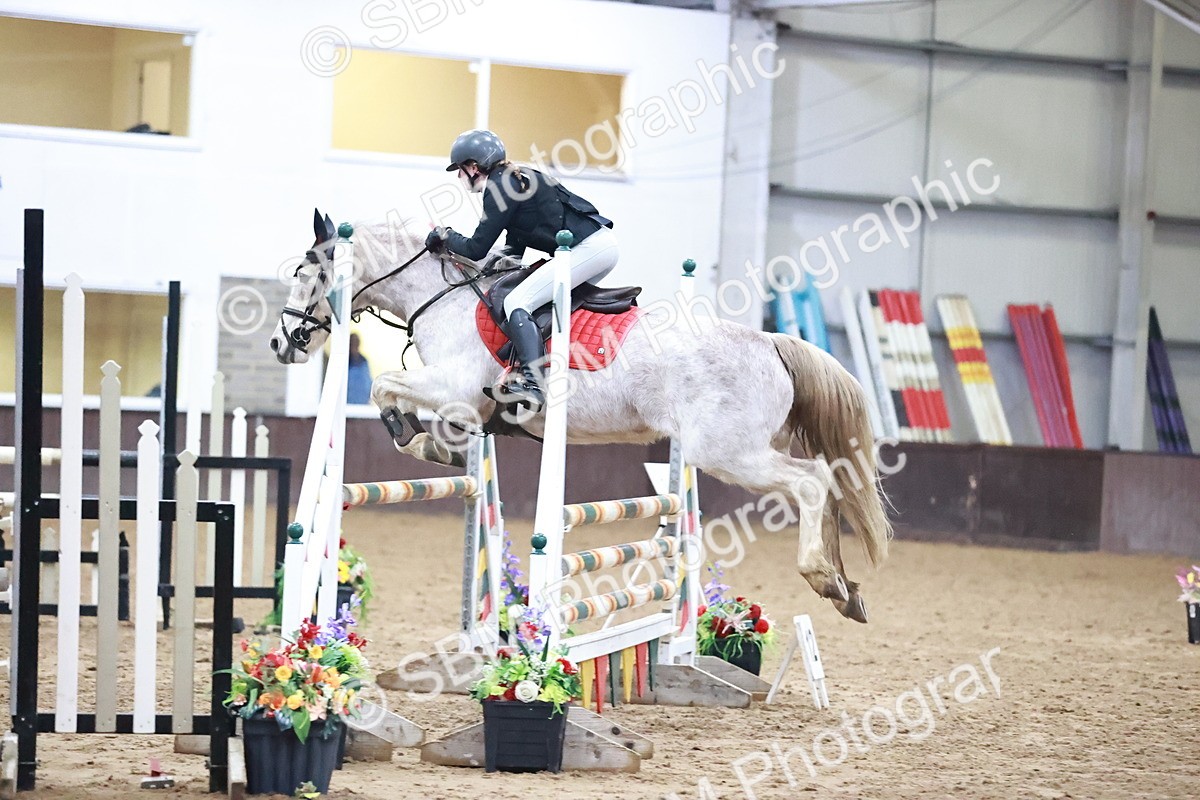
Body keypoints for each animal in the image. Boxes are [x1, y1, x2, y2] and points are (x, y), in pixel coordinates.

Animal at [270, 210, 892, 623]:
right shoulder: (465, 402)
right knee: (833, 484)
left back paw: (823, 577)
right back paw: (848, 587)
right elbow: (416, 410)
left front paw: (419, 439)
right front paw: (434, 443)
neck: (442, 296)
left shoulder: (454, 389)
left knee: (813, 482)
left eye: (303, 271)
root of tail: (771, 342)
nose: (282, 343)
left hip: (729, 453)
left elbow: (384, 387)